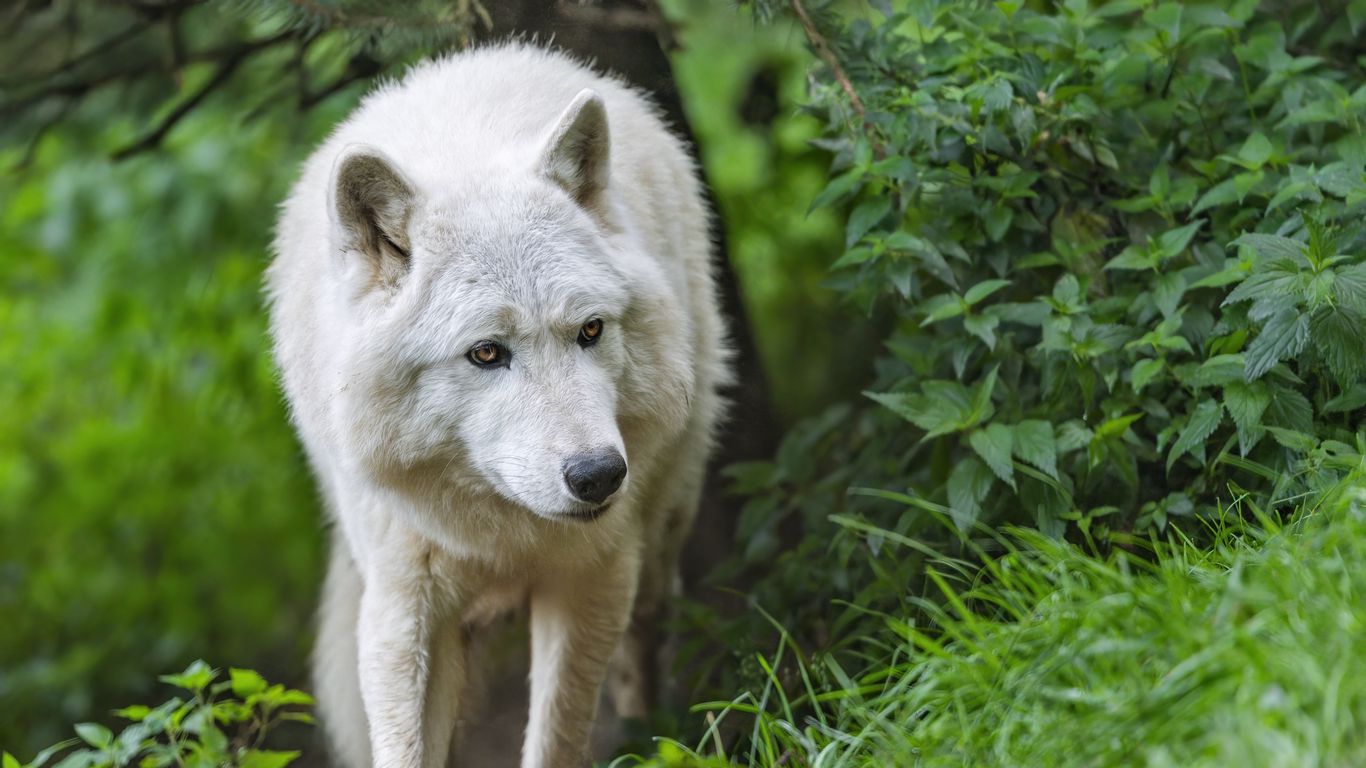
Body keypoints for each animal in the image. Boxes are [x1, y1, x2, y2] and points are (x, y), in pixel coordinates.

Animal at [267, 44, 729, 768]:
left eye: (590, 330)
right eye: (486, 353)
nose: (598, 475)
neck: (506, 532)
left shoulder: (590, 577)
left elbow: (556, 737)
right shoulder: (404, 603)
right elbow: (405, 745)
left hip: (658, 539)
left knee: (647, 639)